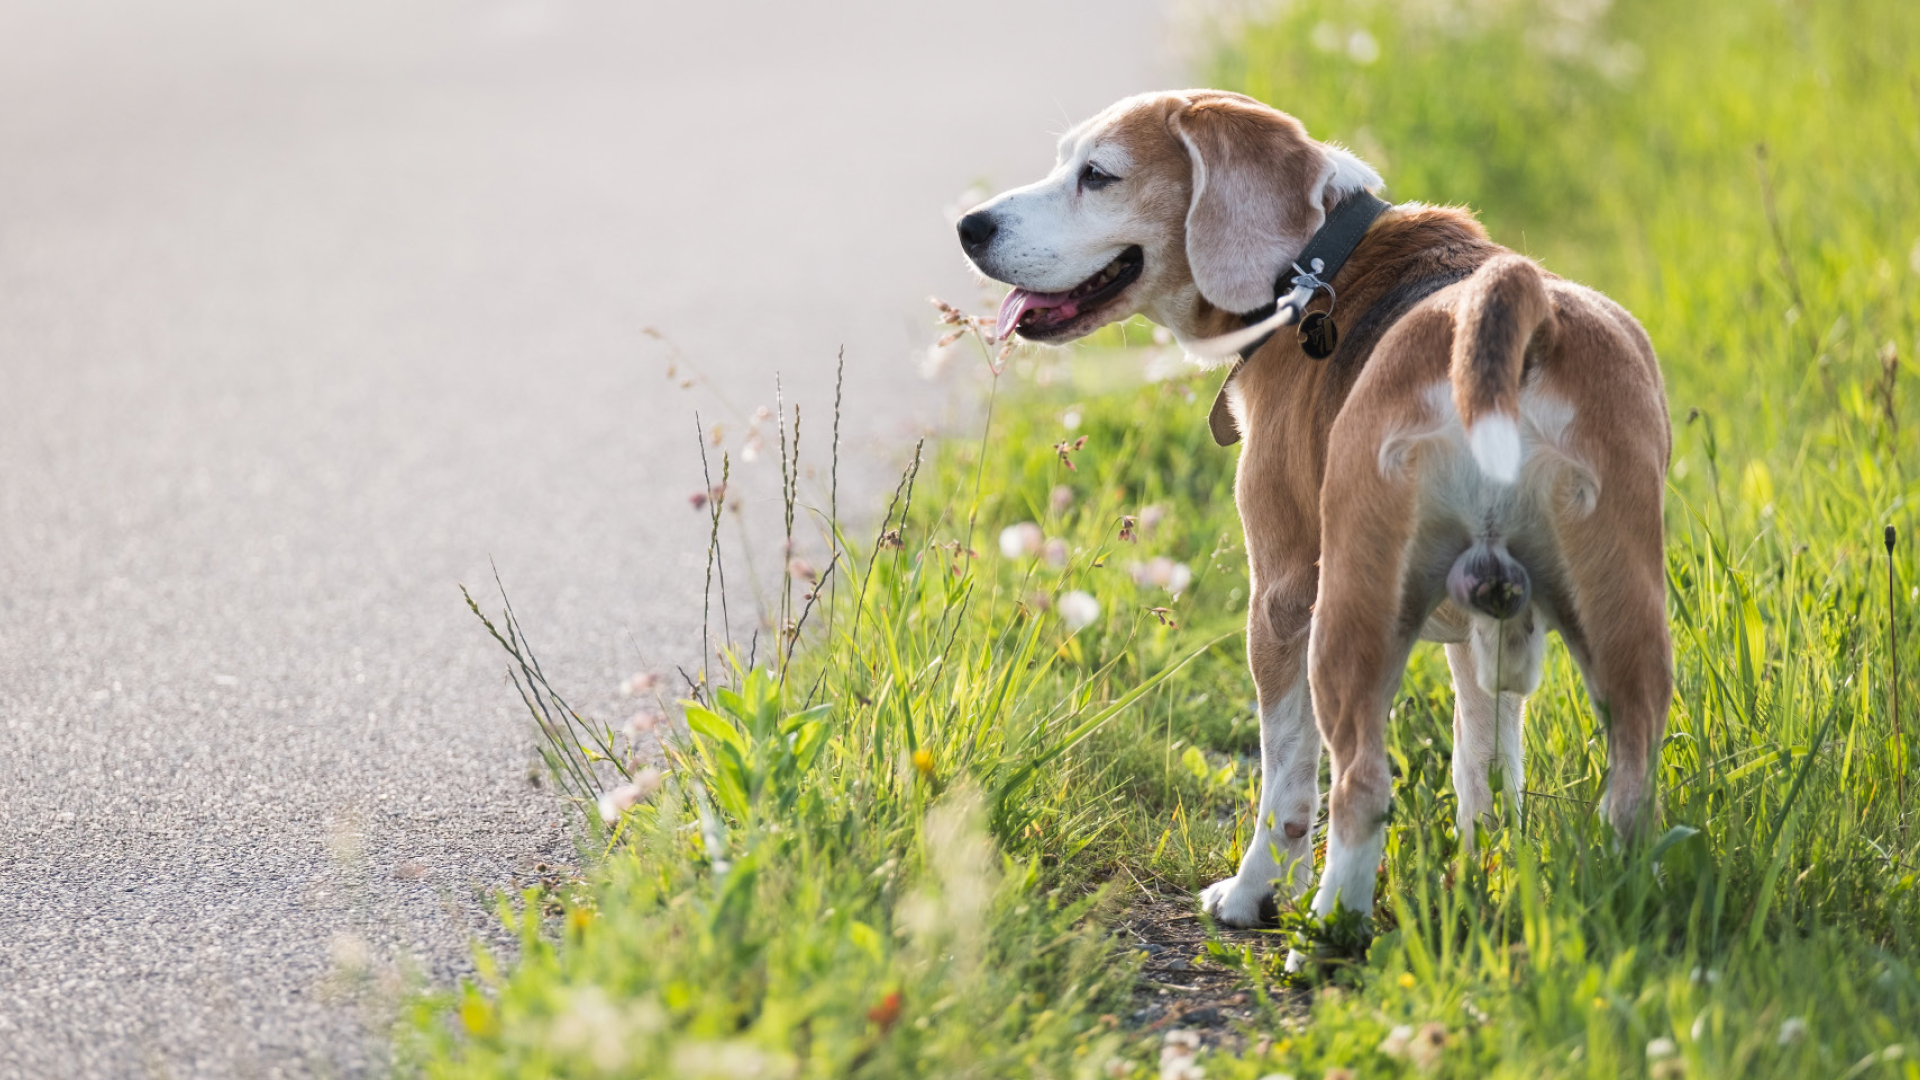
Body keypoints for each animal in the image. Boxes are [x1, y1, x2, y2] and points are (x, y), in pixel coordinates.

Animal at [960, 90, 1666, 933]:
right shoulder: (1486, 634)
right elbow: (1484, 768)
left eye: (1096, 175)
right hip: (1621, 619)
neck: (1317, 265)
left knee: (1359, 782)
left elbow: (1286, 780)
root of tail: (1505, 305)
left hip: (1347, 613)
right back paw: (1619, 894)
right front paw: (1480, 875)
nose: (969, 227)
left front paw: (1253, 894)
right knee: (1632, 780)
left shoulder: (1280, 596)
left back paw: (1328, 925)